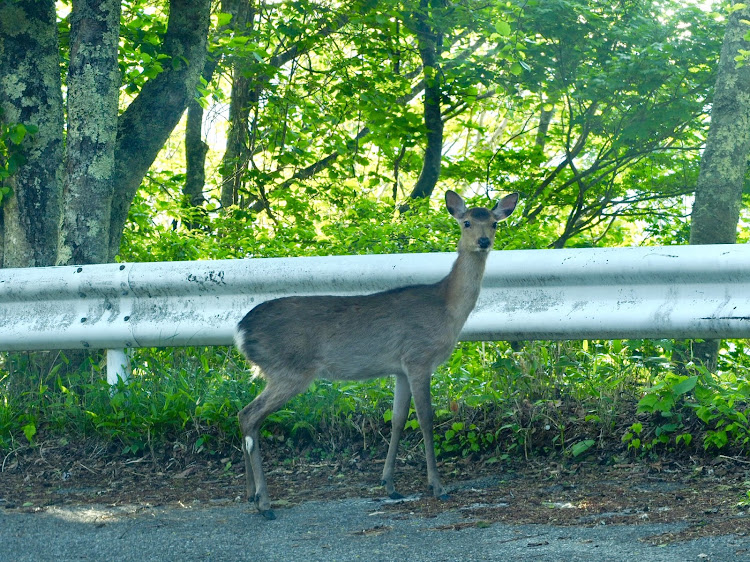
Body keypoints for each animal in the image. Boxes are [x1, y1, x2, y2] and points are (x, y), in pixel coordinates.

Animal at [234, 188, 516, 516]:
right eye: (467, 222)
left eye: (494, 223)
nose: (483, 241)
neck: (446, 307)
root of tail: (240, 331)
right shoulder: (419, 357)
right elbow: (426, 418)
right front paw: (437, 486)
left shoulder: (400, 369)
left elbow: (397, 419)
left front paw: (389, 485)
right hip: (289, 369)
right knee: (250, 415)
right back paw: (264, 502)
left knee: (243, 415)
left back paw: (249, 494)